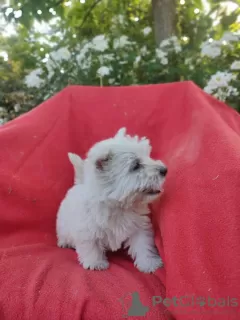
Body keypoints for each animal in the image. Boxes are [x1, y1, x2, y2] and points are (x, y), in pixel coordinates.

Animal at [56, 127, 167, 272]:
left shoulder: (138, 227)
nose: (164, 170)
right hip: (63, 225)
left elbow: (143, 245)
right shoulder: (86, 231)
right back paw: (64, 242)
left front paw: (148, 263)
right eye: (136, 165)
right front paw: (95, 263)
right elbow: (90, 247)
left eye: (148, 156)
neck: (118, 205)